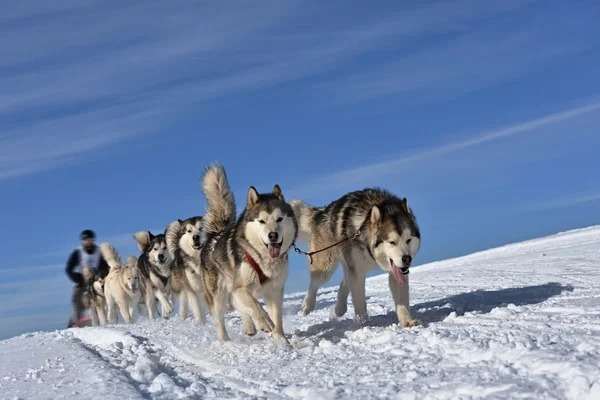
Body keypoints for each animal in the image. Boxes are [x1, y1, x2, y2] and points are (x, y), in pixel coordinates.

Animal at [199, 164, 298, 346]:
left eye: (279, 219)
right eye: (262, 221)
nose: (273, 235)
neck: (263, 261)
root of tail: (214, 235)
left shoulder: (275, 290)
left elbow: (277, 317)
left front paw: (282, 341)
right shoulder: (240, 288)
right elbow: (254, 304)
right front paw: (265, 322)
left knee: (239, 307)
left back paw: (249, 326)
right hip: (217, 296)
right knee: (219, 319)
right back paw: (225, 341)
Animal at [290, 189, 422, 330]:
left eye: (408, 240)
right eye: (392, 242)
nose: (407, 259)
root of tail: (323, 211)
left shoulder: (395, 271)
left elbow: (402, 301)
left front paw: (407, 321)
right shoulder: (358, 273)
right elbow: (360, 303)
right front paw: (364, 325)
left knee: (344, 282)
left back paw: (340, 308)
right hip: (326, 266)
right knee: (315, 283)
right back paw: (307, 305)